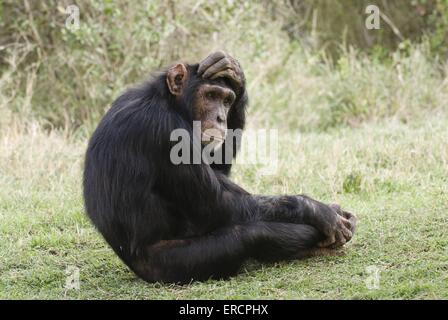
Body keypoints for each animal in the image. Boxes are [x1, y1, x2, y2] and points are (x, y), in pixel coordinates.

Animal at [84, 50, 356, 282]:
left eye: (227, 100)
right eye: (211, 96)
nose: (221, 117)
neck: (170, 103)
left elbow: (218, 171)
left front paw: (234, 71)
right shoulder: (166, 130)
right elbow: (217, 205)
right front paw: (318, 210)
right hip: (170, 265)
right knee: (249, 234)